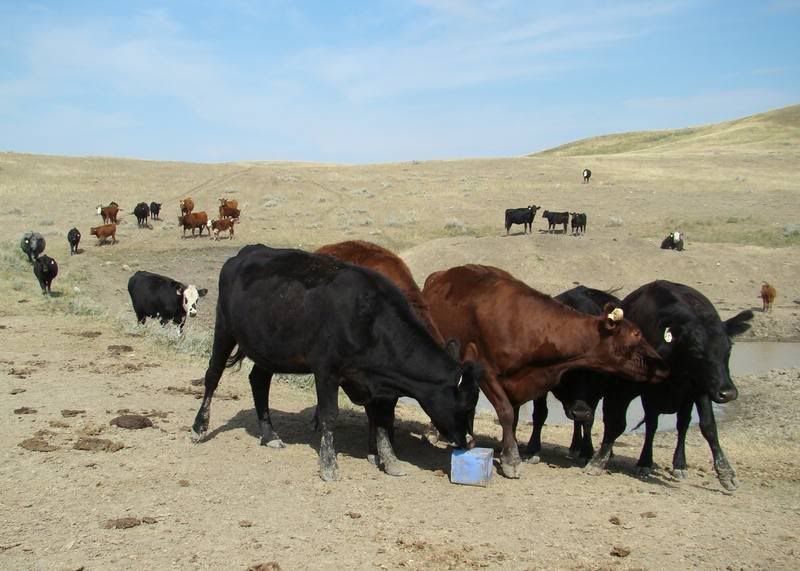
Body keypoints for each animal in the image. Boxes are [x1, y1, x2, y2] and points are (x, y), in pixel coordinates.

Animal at [190, 245, 482, 481]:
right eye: (467, 404)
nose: (469, 442)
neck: (371, 319)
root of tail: (244, 253)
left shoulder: (380, 387)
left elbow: (384, 422)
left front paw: (391, 461)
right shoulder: (326, 371)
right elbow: (330, 415)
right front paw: (329, 465)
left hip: (269, 349)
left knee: (259, 382)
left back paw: (270, 435)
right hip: (224, 328)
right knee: (213, 375)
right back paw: (199, 428)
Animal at [527, 286, 622, 463]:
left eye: (594, 375)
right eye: (567, 374)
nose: (580, 411)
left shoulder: (595, 392)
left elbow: (589, 420)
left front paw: (587, 451)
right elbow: (540, 414)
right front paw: (532, 449)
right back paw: (575, 446)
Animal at [585, 281, 754, 491]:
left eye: (728, 349)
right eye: (696, 351)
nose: (728, 393)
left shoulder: (700, 389)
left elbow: (709, 427)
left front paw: (726, 473)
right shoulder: (622, 387)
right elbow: (616, 423)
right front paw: (598, 461)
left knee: (681, 425)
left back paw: (678, 465)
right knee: (652, 425)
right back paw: (644, 463)